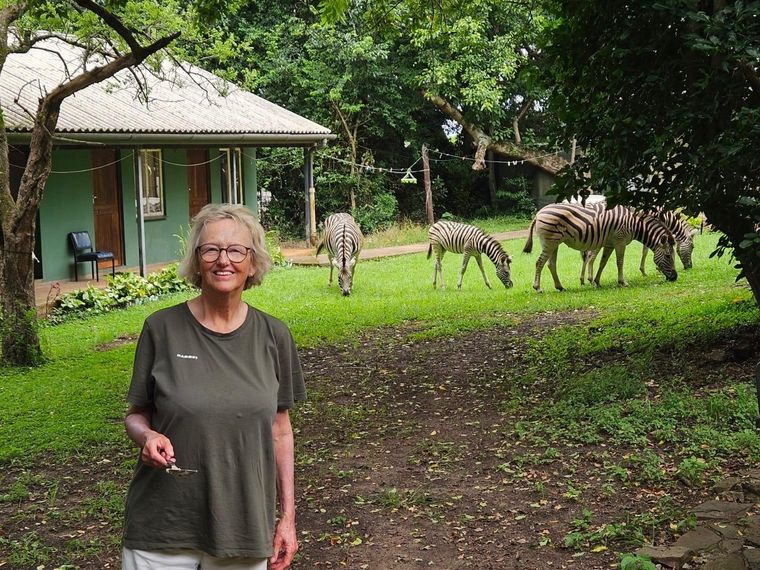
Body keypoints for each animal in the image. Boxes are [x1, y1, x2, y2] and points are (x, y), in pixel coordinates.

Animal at [523, 203, 677, 292]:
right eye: (668, 256)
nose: (675, 278)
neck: (634, 223)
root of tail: (539, 213)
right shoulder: (620, 241)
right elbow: (620, 262)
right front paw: (622, 282)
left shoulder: (609, 243)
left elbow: (603, 262)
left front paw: (596, 282)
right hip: (549, 242)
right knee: (539, 263)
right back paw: (537, 288)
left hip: (554, 243)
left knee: (551, 264)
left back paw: (560, 287)